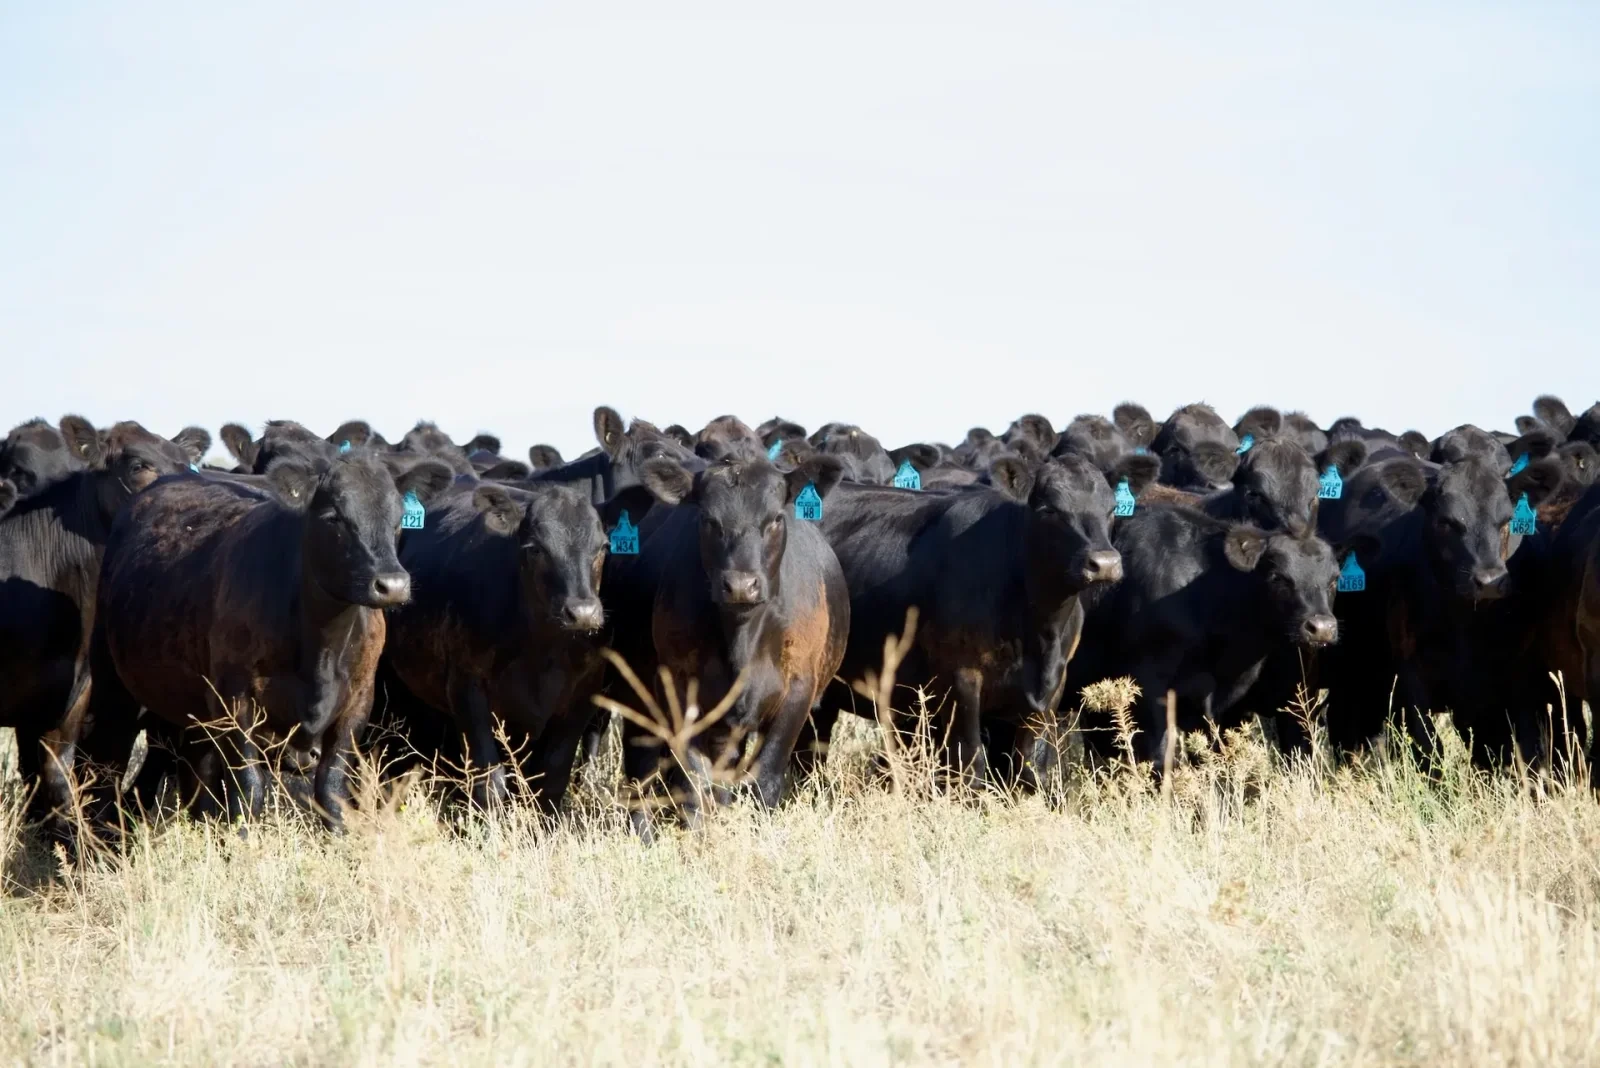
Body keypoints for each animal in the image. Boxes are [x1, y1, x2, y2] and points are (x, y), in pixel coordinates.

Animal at [87, 452, 454, 830]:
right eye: (334, 517)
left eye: (398, 520)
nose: (392, 584)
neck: (321, 647)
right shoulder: (234, 698)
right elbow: (249, 786)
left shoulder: (360, 698)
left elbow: (331, 787)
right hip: (113, 679)